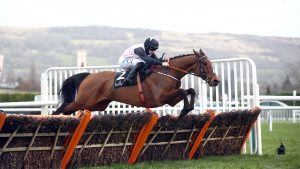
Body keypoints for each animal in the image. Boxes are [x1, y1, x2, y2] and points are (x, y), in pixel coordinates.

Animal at [52, 48, 219, 117]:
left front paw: (187, 109)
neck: (169, 72)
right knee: (62, 108)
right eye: (205, 64)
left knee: (68, 110)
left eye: (211, 63)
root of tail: (88, 76)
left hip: (96, 105)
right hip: (84, 101)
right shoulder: (160, 98)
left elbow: (190, 90)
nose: (215, 81)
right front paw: (185, 110)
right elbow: (184, 91)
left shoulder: (171, 100)